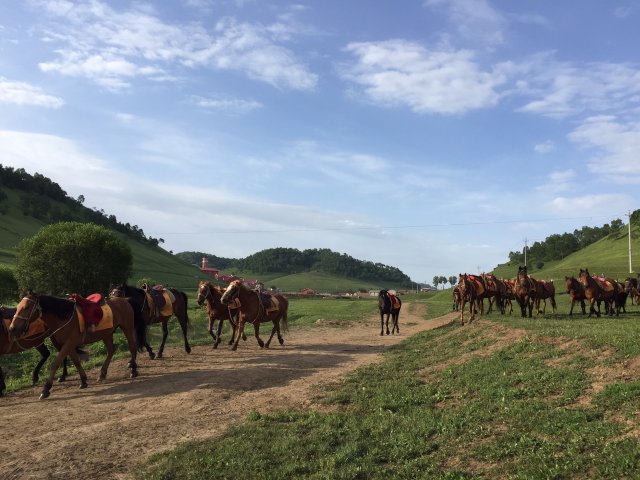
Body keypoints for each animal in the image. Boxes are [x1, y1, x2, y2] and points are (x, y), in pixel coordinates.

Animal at [9, 292, 145, 398]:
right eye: (17, 307)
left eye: (27, 307)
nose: (12, 328)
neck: (64, 316)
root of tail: (124, 300)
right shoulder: (68, 344)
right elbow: (76, 361)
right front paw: (83, 380)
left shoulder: (68, 344)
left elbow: (55, 364)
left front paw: (46, 389)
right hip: (107, 333)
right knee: (111, 350)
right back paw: (102, 373)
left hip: (127, 327)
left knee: (132, 347)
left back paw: (133, 370)